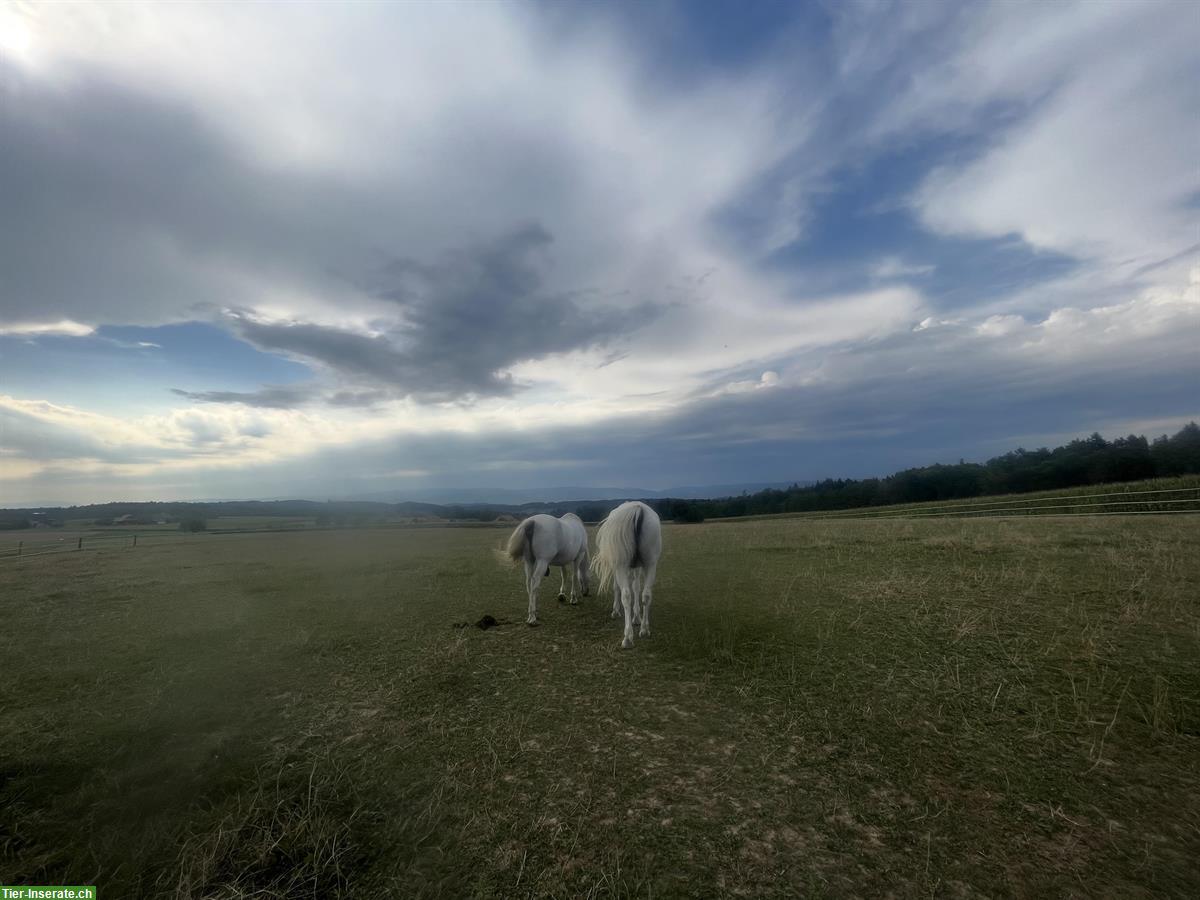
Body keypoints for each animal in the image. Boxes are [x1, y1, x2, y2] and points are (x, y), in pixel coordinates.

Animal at [592, 504, 662, 652]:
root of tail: (638, 508)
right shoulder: (637, 567)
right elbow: (636, 587)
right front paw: (637, 617)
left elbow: (617, 588)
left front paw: (615, 611)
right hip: (651, 564)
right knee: (646, 595)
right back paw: (644, 630)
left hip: (621, 566)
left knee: (626, 595)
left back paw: (628, 638)